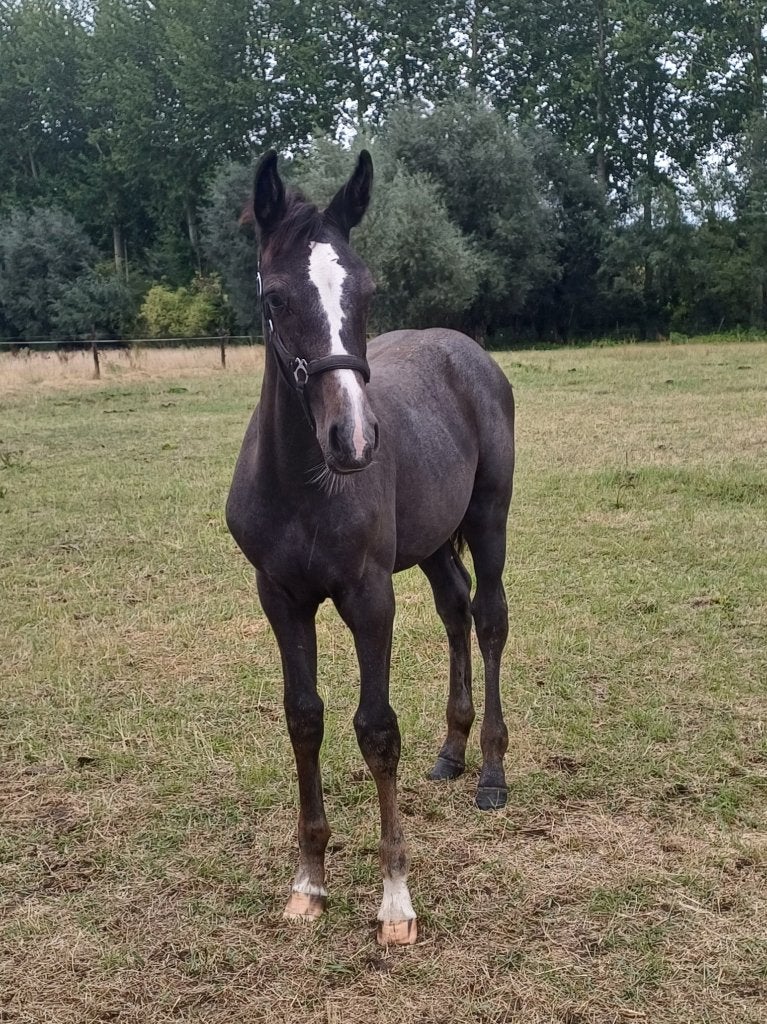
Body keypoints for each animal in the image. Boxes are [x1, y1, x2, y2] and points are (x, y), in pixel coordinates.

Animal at [226, 150, 515, 946]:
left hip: (488, 518)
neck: (304, 484)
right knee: (454, 611)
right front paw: (308, 882)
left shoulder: (368, 594)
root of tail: (467, 349)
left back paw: (489, 772)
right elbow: (304, 717)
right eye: (273, 299)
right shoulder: (280, 597)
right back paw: (450, 751)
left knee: (488, 619)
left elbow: (376, 730)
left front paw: (394, 901)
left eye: (368, 290)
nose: (353, 440)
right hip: (432, 541)